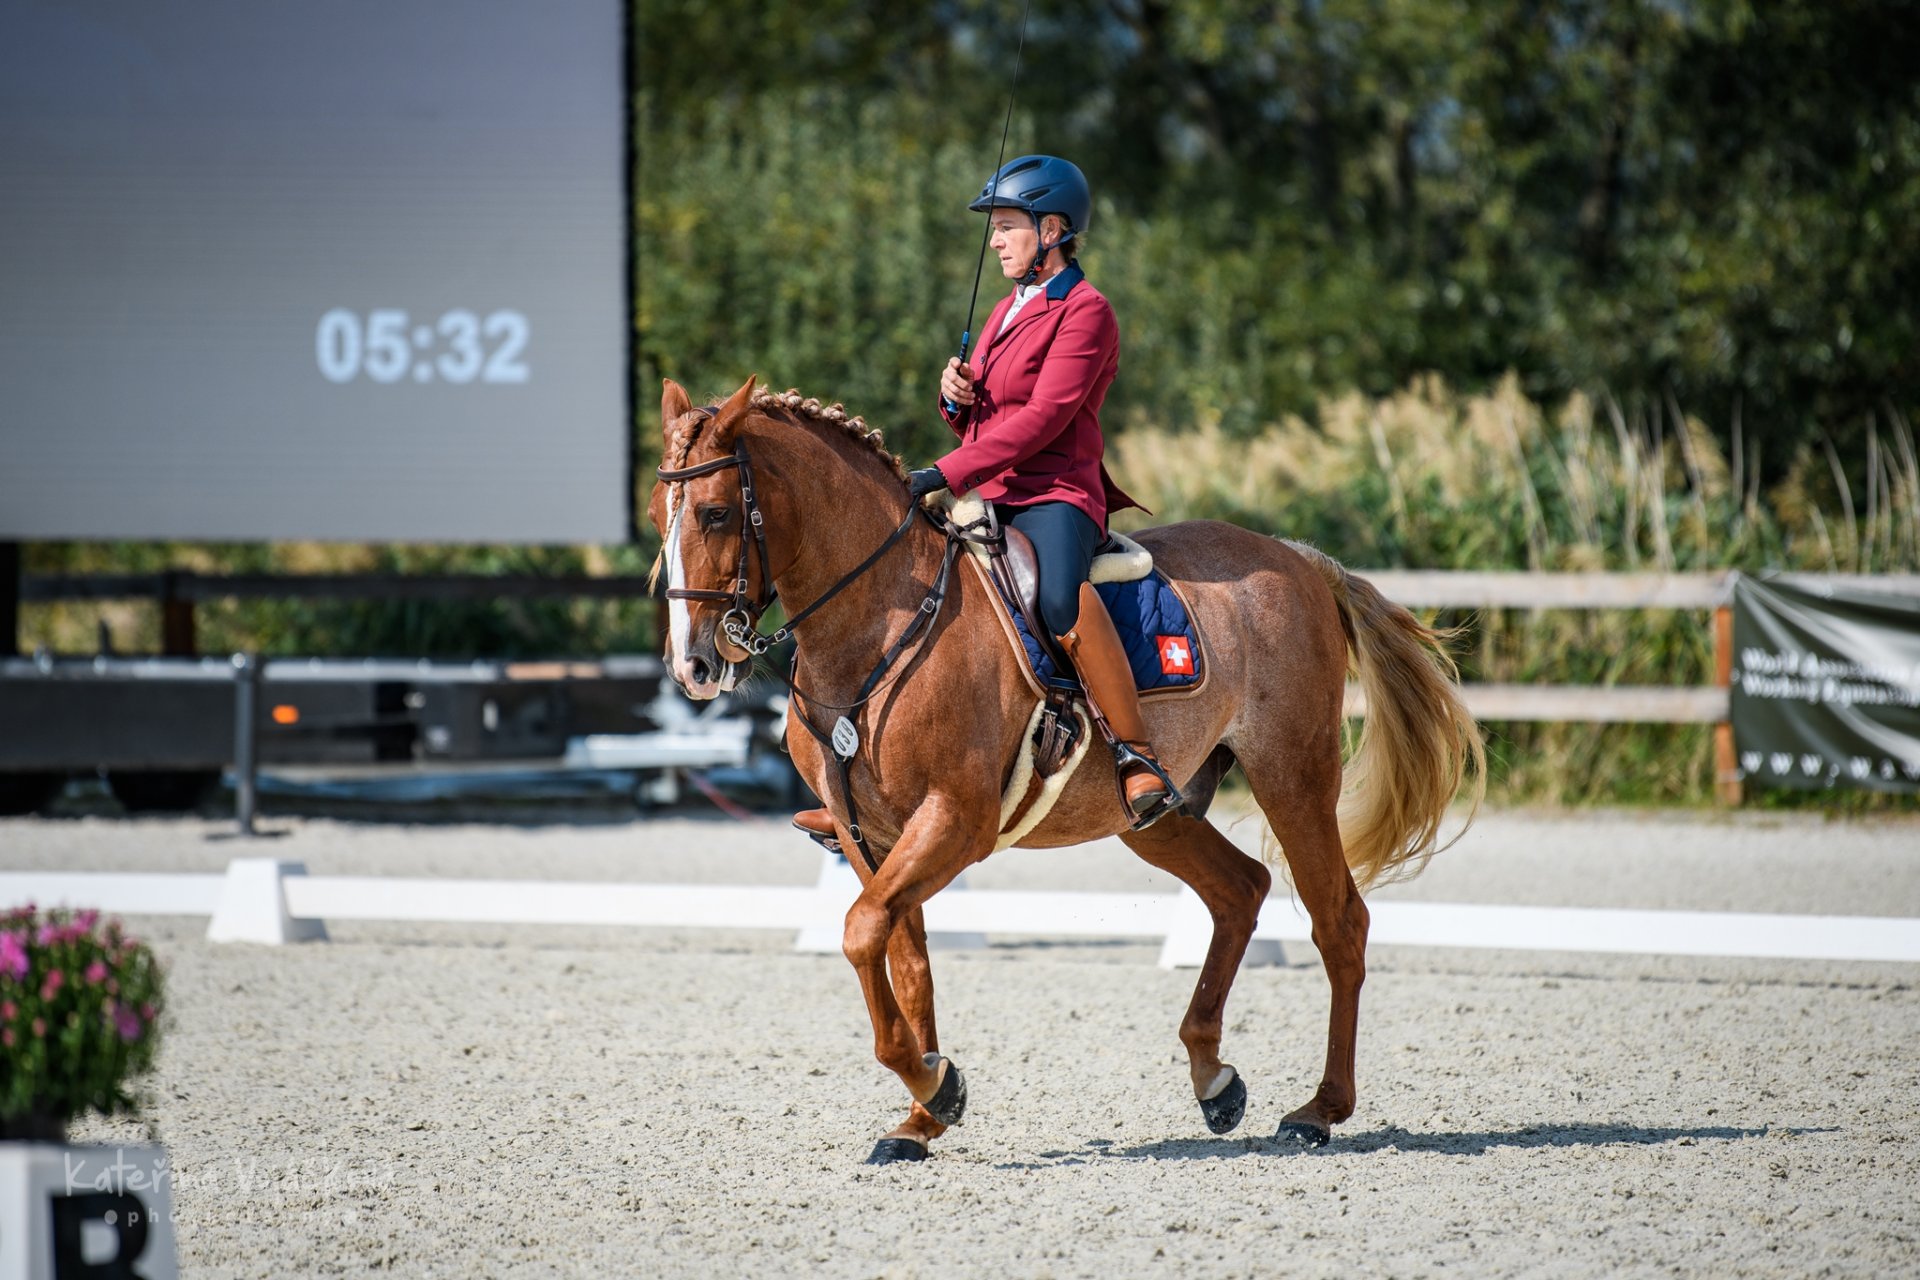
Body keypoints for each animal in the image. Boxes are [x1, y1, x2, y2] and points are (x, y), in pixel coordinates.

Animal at [648, 376, 1482, 1166]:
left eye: (716, 514)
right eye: (660, 511)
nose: (693, 665)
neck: (882, 624)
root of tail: (1295, 556)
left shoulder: (954, 821)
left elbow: (858, 934)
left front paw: (933, 1085)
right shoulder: (869, 837)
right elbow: (903, 958)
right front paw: (925, 1110)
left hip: (1292, 777)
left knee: (1338, 921)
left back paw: (1318, 1111)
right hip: (1152, 813)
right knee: (1240, 890)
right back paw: (1214, 1080)